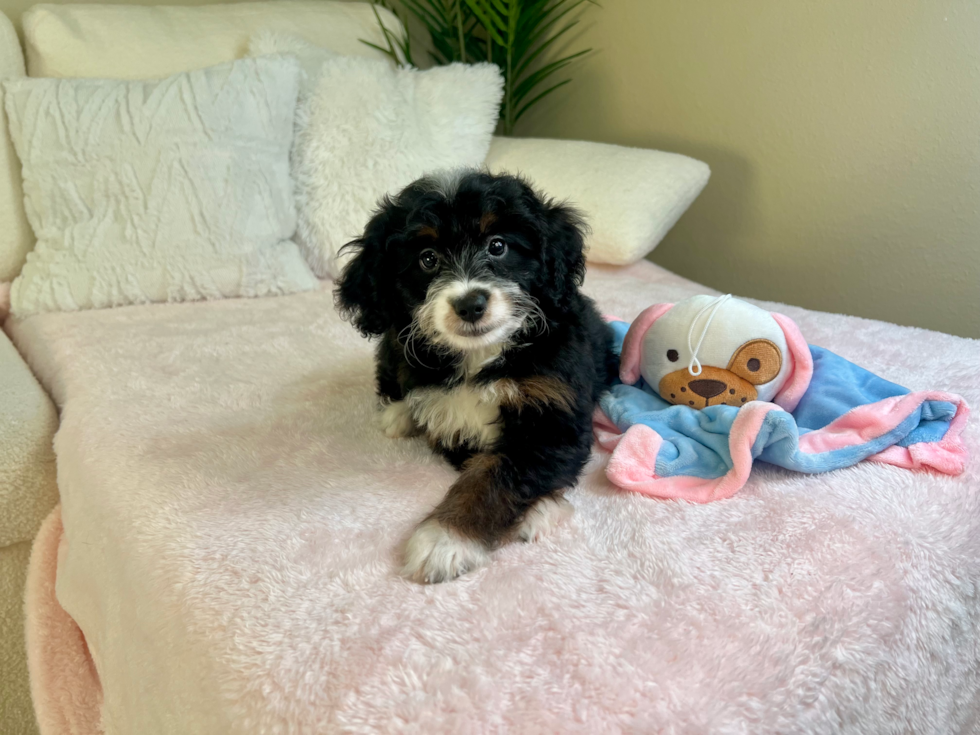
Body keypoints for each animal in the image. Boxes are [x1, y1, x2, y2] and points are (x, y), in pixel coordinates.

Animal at [334, 170, 616, 584]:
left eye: (498, 246)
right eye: (428, 258)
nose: (470, 304)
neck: (480, 356)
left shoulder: (553, 410)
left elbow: (496, 472)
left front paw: (445, 540)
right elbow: (485, 465)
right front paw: (449, 538)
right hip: (393, 341)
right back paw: (398, 415)